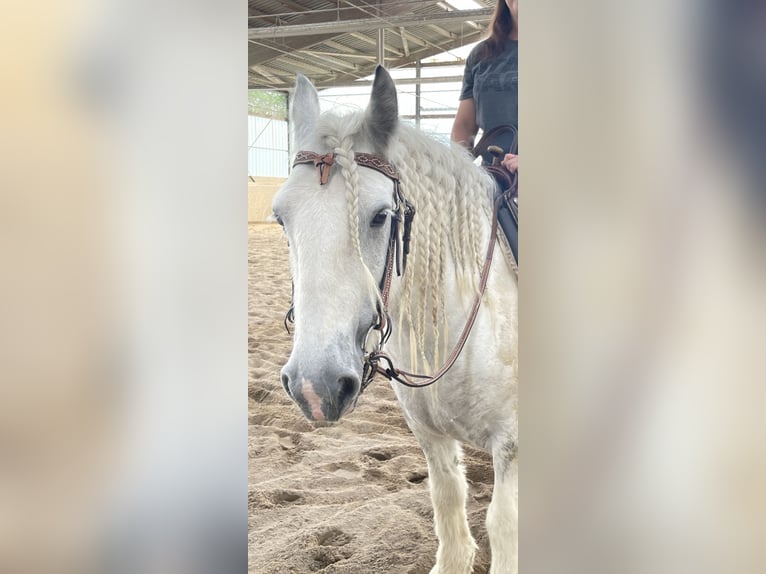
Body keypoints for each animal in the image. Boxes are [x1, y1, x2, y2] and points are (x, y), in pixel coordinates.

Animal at [272, 68, 520, 574]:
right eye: (281, 218)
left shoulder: (512, 445)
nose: (315, 386)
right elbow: (448, 505)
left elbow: (503, 526)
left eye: (380, 216)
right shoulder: (431, 437)